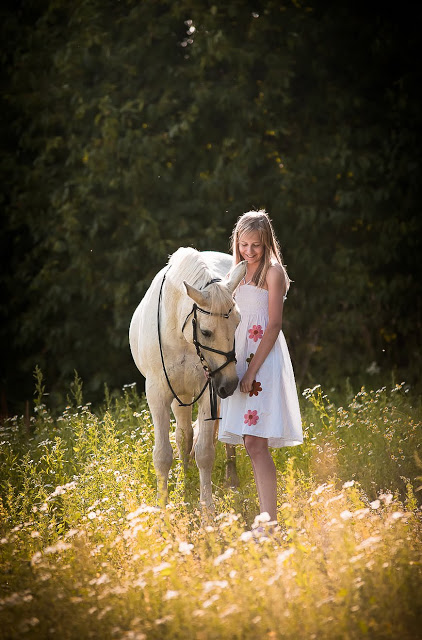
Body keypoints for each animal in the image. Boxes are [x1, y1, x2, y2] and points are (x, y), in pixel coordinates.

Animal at [129, 247, 246, 509]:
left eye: (238, 324)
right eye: (205, 332)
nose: (230, 384)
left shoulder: (209, 393)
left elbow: (205, 453)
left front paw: (208, 511)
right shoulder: (158, 395)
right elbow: (163, 454)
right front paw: (164, 510)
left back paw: (232, 483)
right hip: (180, 397)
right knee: (184, 437)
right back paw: (186, 487)